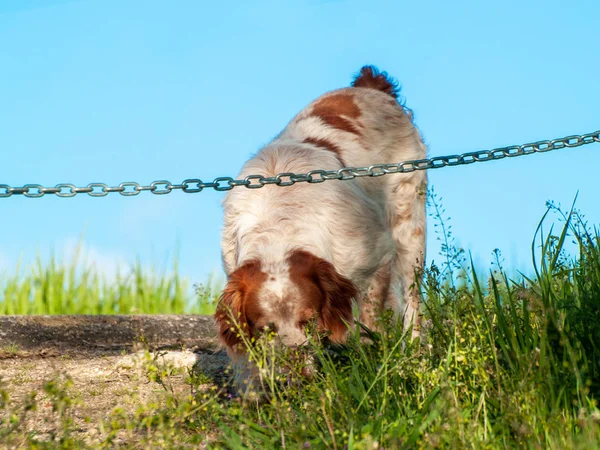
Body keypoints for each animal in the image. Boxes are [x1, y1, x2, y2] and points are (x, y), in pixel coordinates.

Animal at [216, 66, 426, 394]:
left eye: (310, 321)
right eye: (267, 330)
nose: (296, 379)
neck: (279, 228)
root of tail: (369, 87)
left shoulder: (376, 255)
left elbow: (368, 321)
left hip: (409, 226)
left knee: (412, 303)